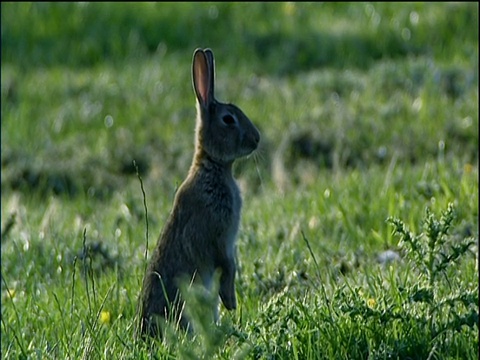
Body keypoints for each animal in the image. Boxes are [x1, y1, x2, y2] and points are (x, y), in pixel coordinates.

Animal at [137, 47, 260, 338]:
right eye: (228, 119)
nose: (257, 139)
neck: (213, 166)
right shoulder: (218, 238)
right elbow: (228, 267)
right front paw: (231, 302)